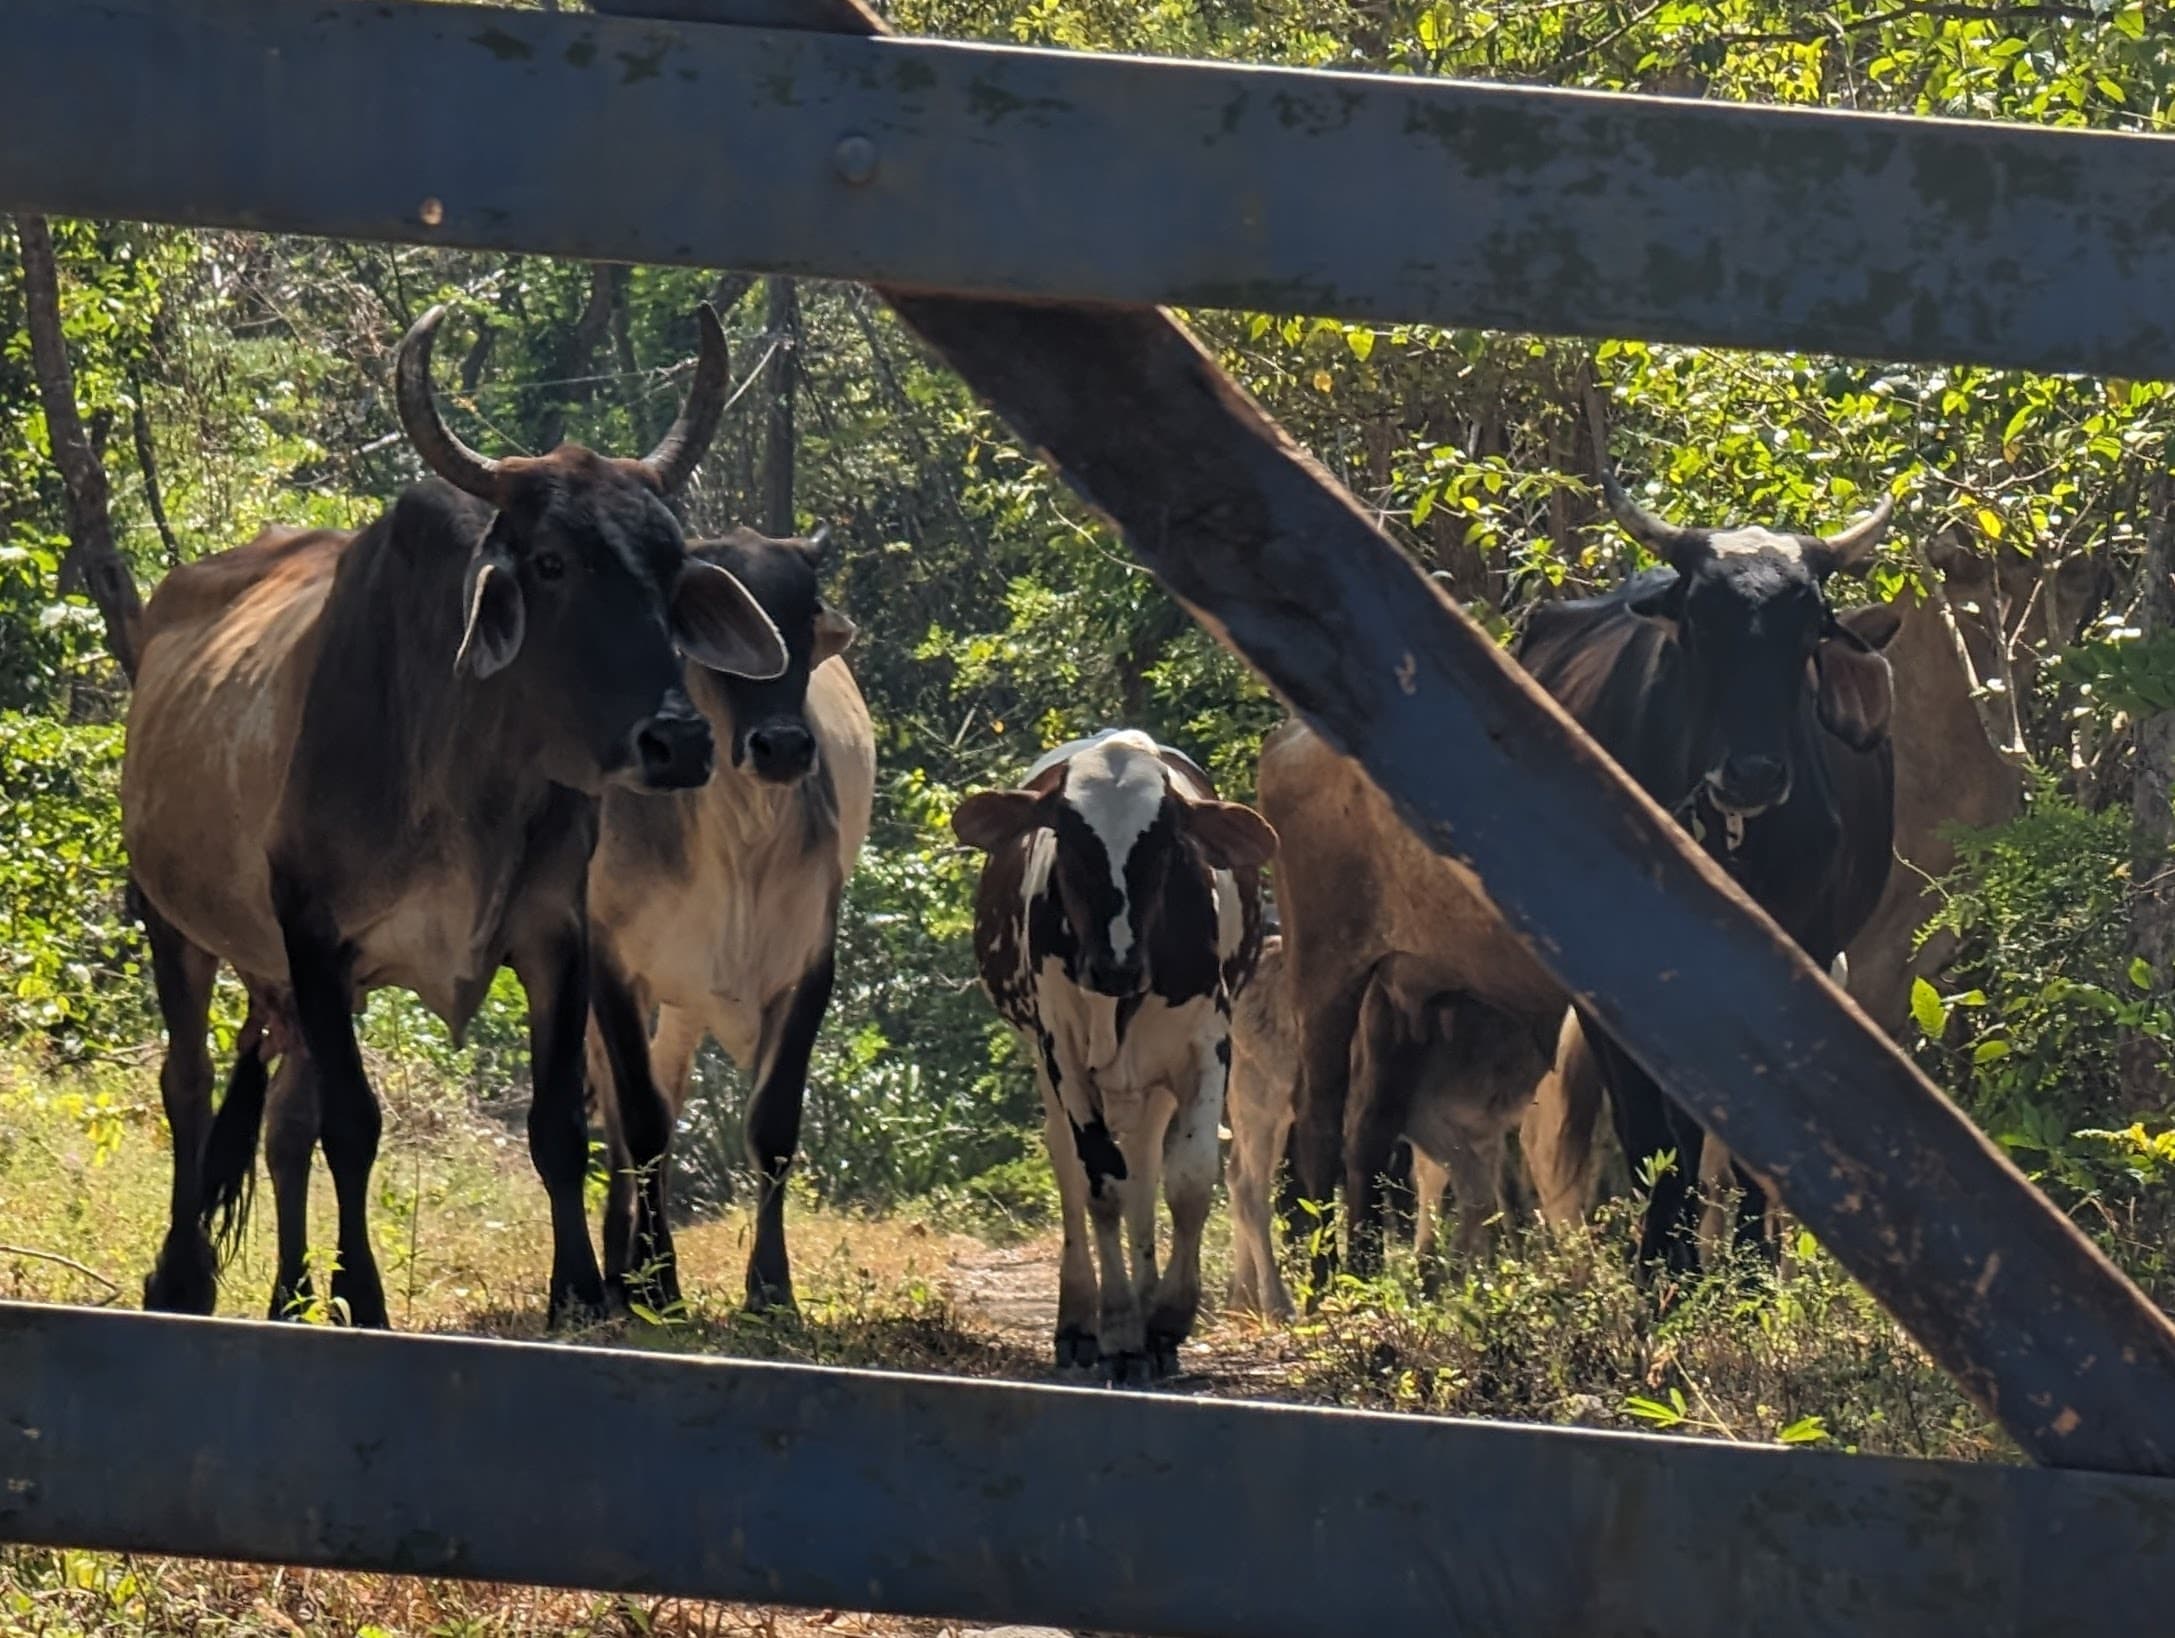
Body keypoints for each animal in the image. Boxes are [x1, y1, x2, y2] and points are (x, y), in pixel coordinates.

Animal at [127, 303, 787, 1327]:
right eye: (550, 562)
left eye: (672, 566)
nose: (677, 742)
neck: (468, 781)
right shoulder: (317, 937)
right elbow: (355, 1127)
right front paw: (365, 1298)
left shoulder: (552, 935)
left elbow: (554, 1126)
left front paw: (578, 1294)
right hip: (175, 923)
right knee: (190, 1084)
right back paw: (185, 1278)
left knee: (282, 1123)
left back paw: (289, 1294)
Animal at [584, 528, 873, 1314]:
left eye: (804, 616)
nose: (783, 746)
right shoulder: (610, 963)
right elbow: (642, 1121)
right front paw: (659, 1284)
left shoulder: (809, 966)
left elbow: (771, 1125)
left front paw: (771, 1288)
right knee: (622, 1110)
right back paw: (620, 1270)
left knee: (669, 1082)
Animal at [954, 730, 1276, 1379]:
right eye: (1069, 836)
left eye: (1165, 843)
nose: (1114, 964)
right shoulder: (1063, 1051)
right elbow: (1100, 1182)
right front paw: (1122, 1327)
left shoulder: (1208, 1045)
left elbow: (1189, 1180)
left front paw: (1167, 1318)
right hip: (1048, 1062)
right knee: (1070, 1165)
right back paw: (1080, 1321)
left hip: (1149, 1083)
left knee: (1147, 1164)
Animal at [1224, 935, 1551, 1318]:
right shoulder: (1428, 1120)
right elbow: (1476, 1195)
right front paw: (1440, 1282)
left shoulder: (1485, 1135)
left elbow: (1460, 1195)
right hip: (1261, 1099)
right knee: (1250, 1188)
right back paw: (1278, 1305)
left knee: (1236, 1176)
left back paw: (1243, 1300)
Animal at [1270, 437, 1900, 1281]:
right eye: (1698, 626)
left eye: (1807, 634)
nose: (1752, 774)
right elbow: (1653, 1133)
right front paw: (1666, 1267)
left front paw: (1745, 1271)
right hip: (1325, 967)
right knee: (1316, 1117)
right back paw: (1319, 1280)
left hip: (1403, 993)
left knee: (1369, 1125)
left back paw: (1362, 1267)